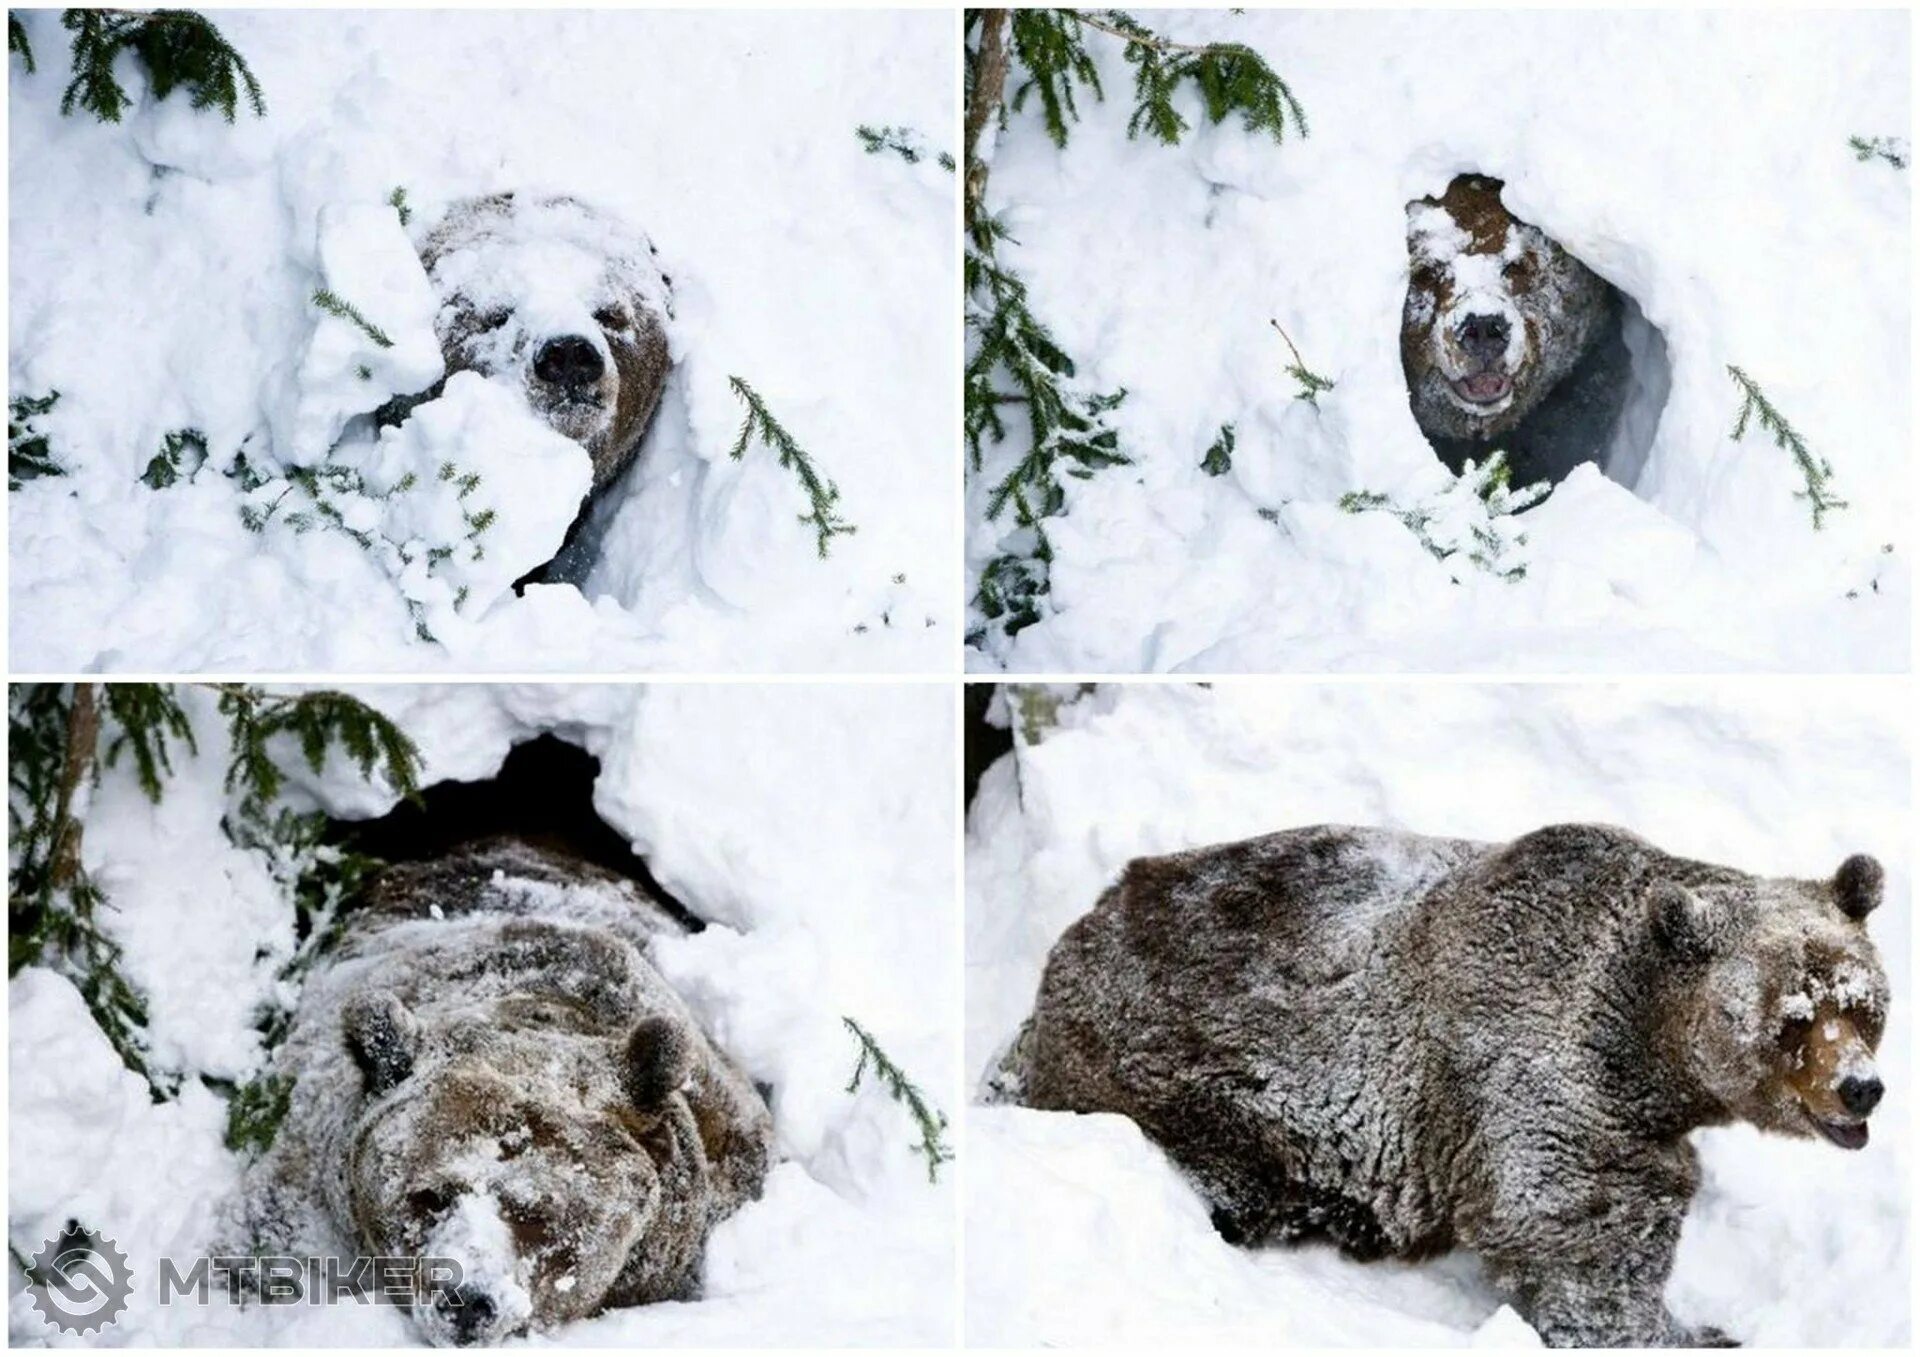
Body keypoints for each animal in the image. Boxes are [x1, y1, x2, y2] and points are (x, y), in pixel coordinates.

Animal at [1006, 821, 1889, 1343]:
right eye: (1794, 1017)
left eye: (1863, 1003)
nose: (1861, 1087)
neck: (1645, 1049)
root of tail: (1072, 940)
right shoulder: (1543, 1081)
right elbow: (1587, 1235)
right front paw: (1684, 1327)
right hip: (1185, 1075)